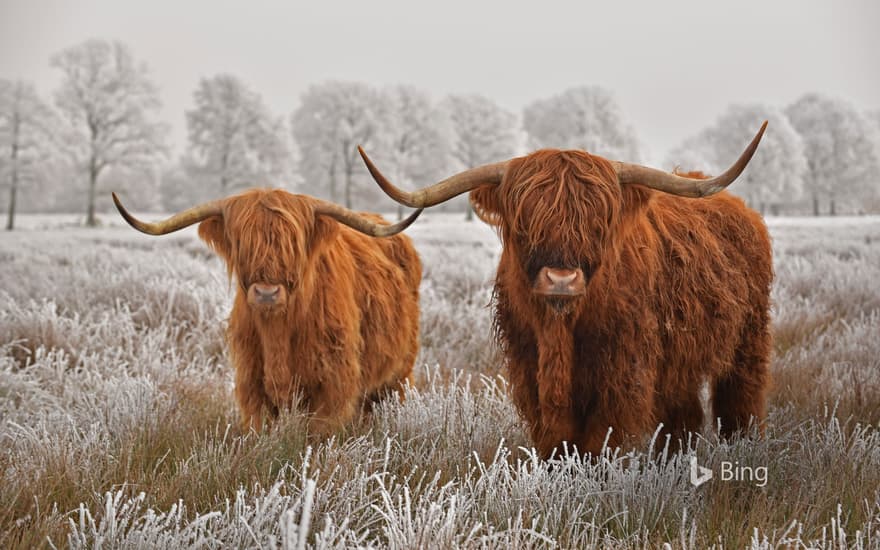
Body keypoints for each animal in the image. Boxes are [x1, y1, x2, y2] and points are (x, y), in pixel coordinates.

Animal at [113, 190, 422, 436]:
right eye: (242, 243)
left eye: (292, 244)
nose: (266, 293)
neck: (278, 332)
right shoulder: (252, 385)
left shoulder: (333, 386)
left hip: (399, 374)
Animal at [358, 123, 768, 460]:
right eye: (524, 222)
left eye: (598, 222)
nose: (560, 279)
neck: (561, 330)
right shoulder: (529, 369)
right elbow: (557, 442)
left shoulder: (621, 374)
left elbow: (599, 441)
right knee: (684, 418)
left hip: (748, 342)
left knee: (739, 403)